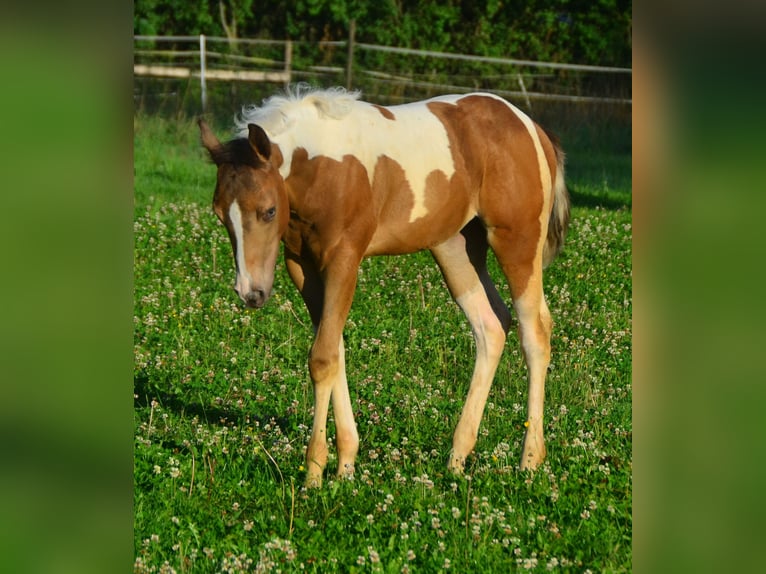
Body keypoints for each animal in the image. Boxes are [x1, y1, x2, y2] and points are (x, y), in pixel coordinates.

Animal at [198, 86, 568, 490]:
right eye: (220, 215)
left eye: (268, 211)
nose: (251, 293)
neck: (322, 167)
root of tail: (532, 128)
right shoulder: (302, 265)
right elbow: (333, 350)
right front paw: (345, 464)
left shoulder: (344, 260)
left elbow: (322, 357)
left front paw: (314, 472)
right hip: (455, 247)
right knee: (490, 326)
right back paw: (457, 457)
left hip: (517, 241)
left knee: (535, 333)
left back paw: (529, 460)